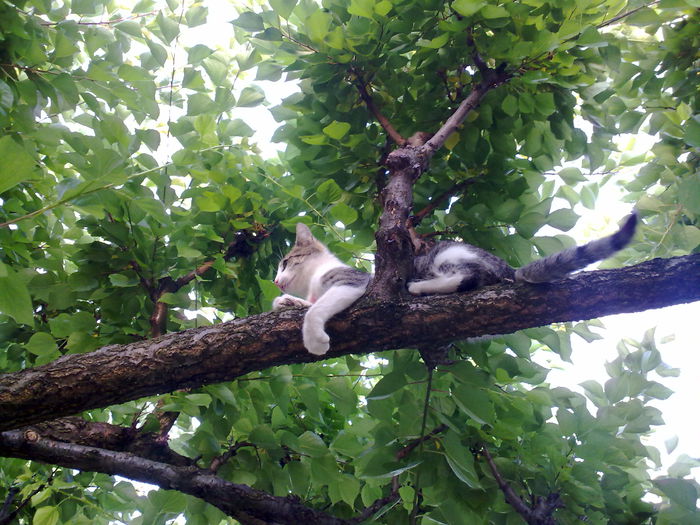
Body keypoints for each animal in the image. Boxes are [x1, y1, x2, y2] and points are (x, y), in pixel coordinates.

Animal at [274, 211, 640, 354]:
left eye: (285, 262)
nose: (276, 281)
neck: (315, 281)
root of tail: (508, 269)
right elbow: (305, 305)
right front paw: (286, 302)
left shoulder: (353, 283)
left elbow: (316, 311)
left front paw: (314, 339)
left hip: (448, 254)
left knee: (467, 276)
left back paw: (418, 288)